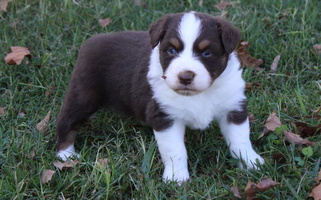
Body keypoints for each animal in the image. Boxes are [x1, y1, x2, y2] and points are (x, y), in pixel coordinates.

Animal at [56, 11, 264, 183]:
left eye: (206, 53)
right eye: (172, 50)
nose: (185, 77)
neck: (201, 93)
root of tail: (92, 40)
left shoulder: (233, 106)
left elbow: (240, 139)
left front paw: (252, 163)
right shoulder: (165, 117)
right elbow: (175, 150)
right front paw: (176, 178)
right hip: (84, 94)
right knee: (67, 120)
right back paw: (66, 155)